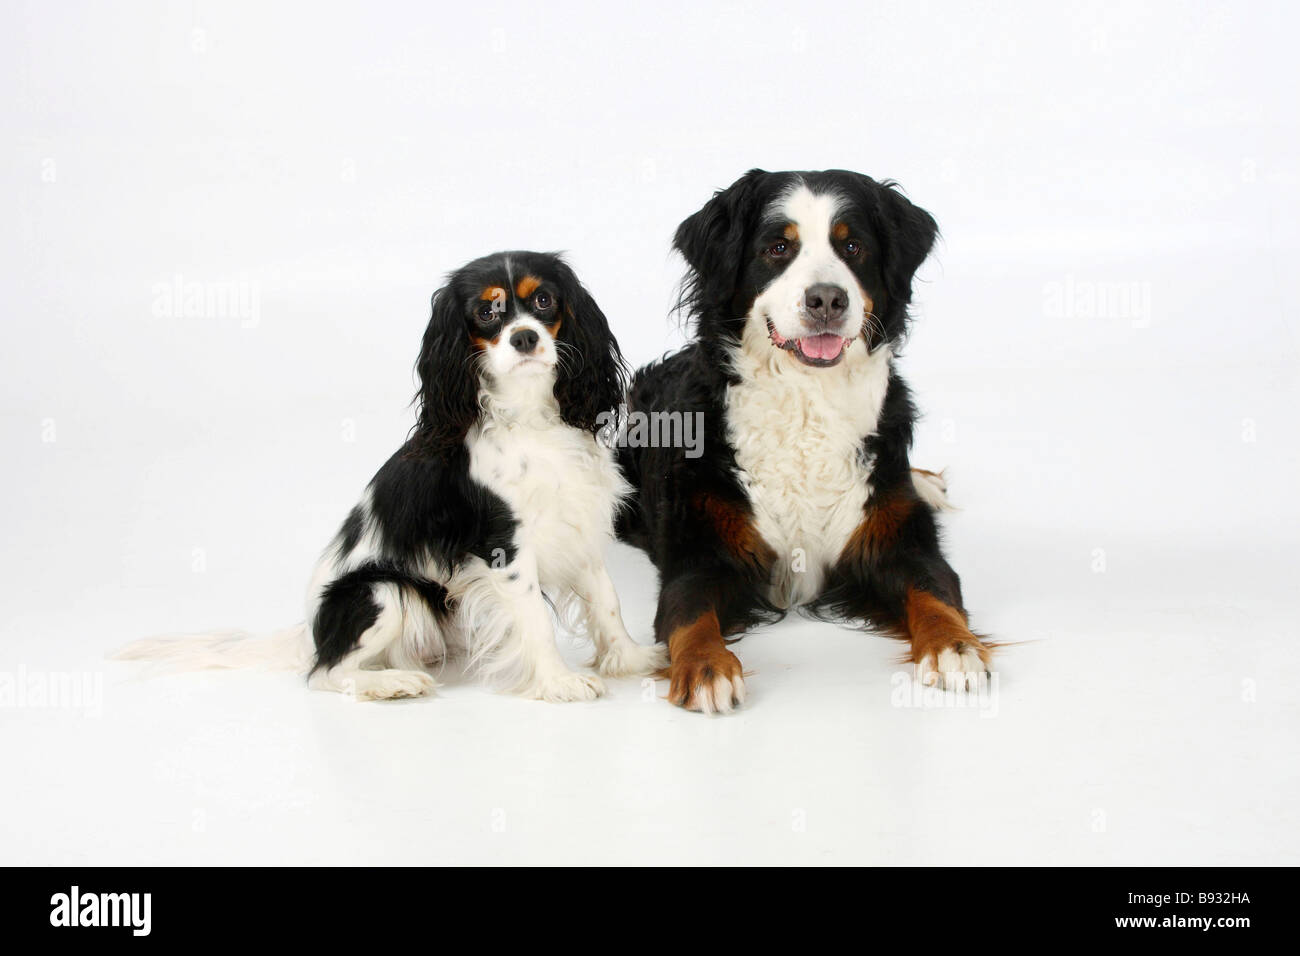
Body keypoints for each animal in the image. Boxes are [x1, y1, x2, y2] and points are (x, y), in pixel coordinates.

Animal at [116, 252, 665, 702]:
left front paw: (631, 658)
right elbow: (534, 619)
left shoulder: (578, 522)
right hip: (383, 593)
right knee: (324, 673)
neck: (530, 415)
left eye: (545, 300)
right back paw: (390, 683)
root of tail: (310, 631)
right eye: (487, 313)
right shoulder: (505, 545)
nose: (524, 337)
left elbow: (606, 600)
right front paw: (558, 681)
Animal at [618, 170, 993, 712]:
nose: (827, 300)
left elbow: (934, 590)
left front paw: (955, 648)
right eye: (779, 248)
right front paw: (707, 668)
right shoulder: (701, 549)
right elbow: (689, 614)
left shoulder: (894, 537)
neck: (806, 401)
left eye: (852, 246)